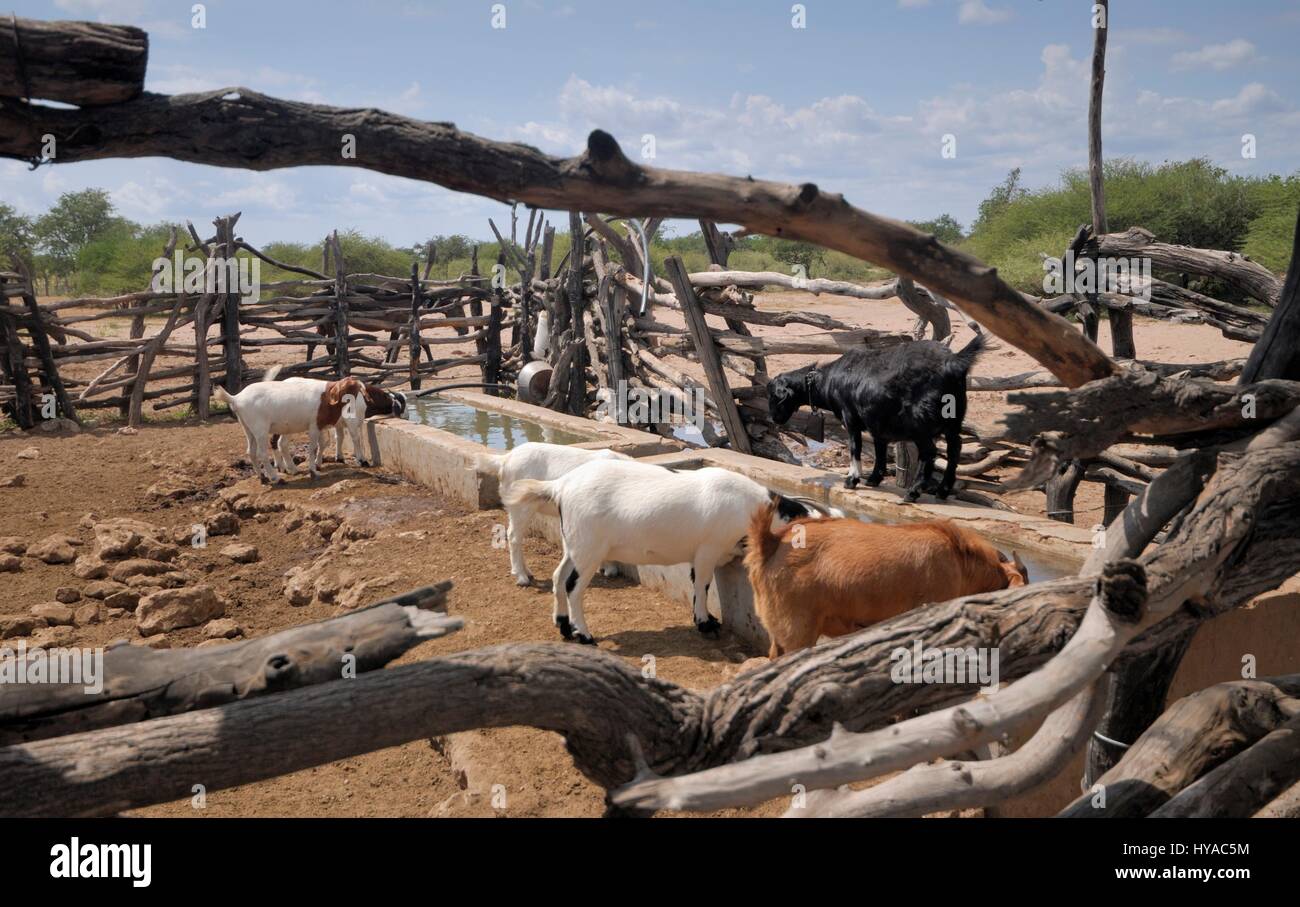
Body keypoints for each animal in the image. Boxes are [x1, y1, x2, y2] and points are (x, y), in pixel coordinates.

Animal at [213, 366, 405, 483]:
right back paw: (277, 477)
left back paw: (266, 477)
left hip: (249, 428)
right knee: (263, 451)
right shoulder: (317, 426)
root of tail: (236, 398)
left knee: (253, 451)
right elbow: (326, 444)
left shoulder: (326, 425)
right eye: (352, 390)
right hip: (260, 429)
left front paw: (331, 460)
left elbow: (331, 441)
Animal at [483, 439, 634, 587]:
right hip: (521, 505)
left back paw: (528, 573)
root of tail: (505, 460)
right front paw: (610, 569)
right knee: (513, 536)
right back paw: (522, 578)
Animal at [496, 459, 821, 641]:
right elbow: (702, 584)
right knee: (573, 586)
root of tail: (560, 486)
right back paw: (584, 635)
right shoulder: (707, 549)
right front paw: (706, 624)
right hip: (589, 548)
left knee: (558, 577)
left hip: (573, 544)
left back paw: (563, 627)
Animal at [764, 332, 977, 501]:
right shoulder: (877, 423)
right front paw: (874, 479)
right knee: (954, 448)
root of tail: (953, 363)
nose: (774, 419)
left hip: (919, 422)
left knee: (930, 452)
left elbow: (854, 447)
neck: (826, 381)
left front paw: (852, 480)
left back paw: (913, 492)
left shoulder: (850, 418)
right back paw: (942, 491)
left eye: (774, 396)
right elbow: (879, 449)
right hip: (954, 420)